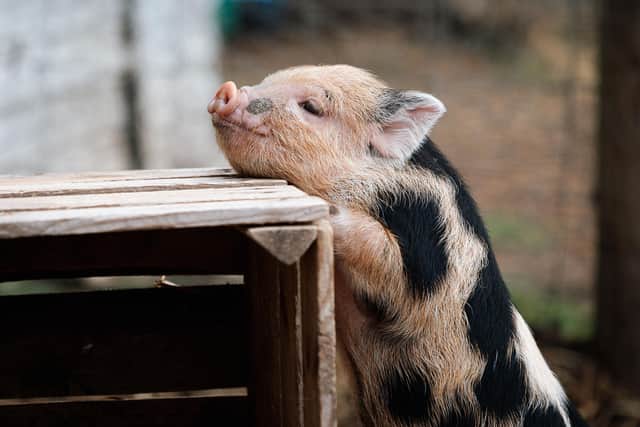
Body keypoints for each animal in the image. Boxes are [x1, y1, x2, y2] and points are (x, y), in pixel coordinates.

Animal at [208, 65, 588, 427]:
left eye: (312, 107)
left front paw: (328, 208)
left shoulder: (425, 248)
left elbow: (386, 258)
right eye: (267, 80)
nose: (228, 90)